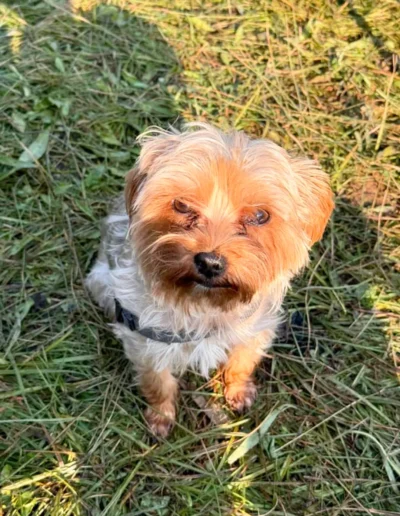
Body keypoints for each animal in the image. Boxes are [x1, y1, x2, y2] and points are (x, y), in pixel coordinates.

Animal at [87, 123, 334, 438]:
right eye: (181, 205)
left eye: (260, 215)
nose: (210, 263)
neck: (205, 305)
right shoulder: (144, 339)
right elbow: (157, 381)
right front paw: (161, 416)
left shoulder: (256, 327)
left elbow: (242, 362)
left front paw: (238, 391)